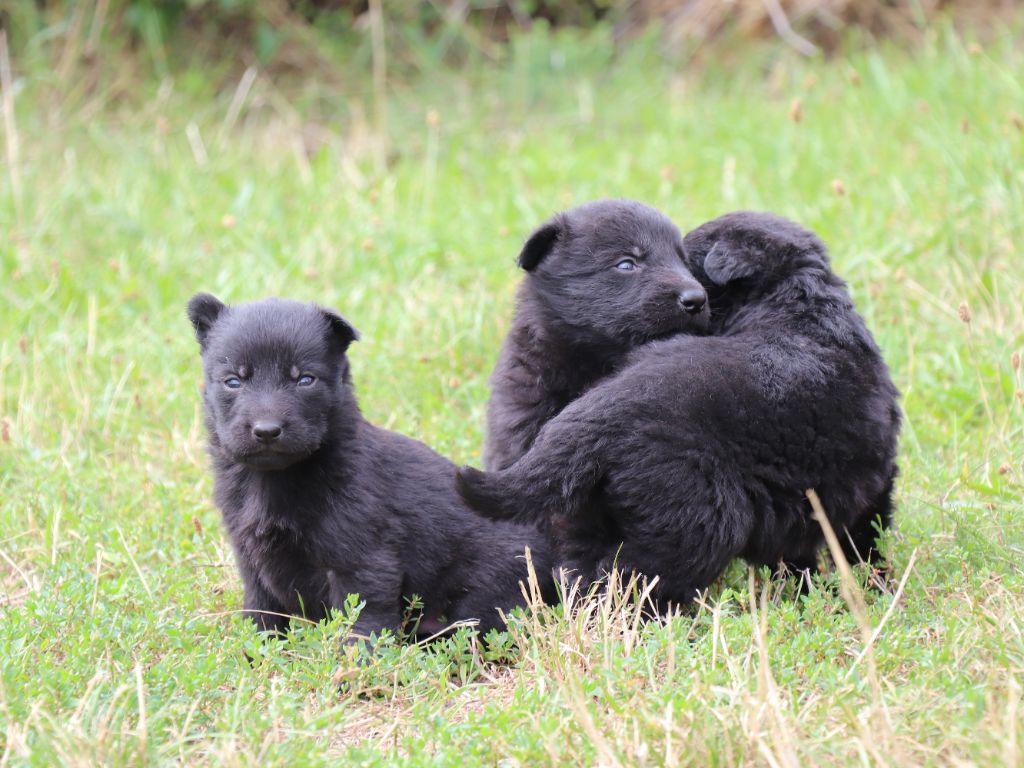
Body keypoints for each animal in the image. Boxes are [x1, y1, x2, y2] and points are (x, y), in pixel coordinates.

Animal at [188, 296, 557, 647]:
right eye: (233, 381)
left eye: (305, 380)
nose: (266, 430)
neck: (277, 478)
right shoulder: (252, 561)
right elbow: (261, 613)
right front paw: (257, 656)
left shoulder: (363, 560)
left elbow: (364, 620)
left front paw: (360, 663)